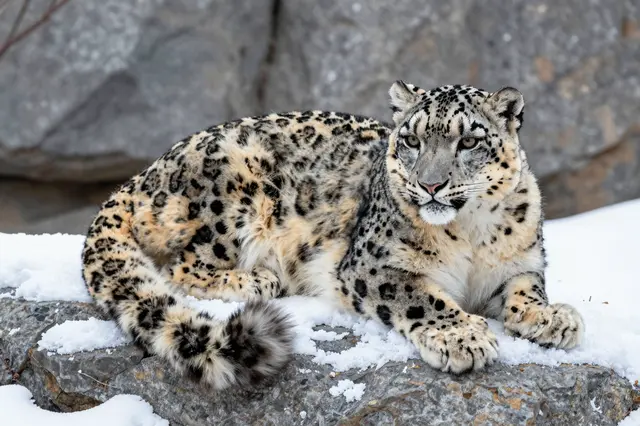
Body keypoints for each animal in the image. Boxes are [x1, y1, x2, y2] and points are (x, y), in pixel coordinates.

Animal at [81, 81, 585, 390]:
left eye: (469, 142)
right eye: (413, 140)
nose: (431, 184)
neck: (471, 232)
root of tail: (144, 172)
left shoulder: (518, 262)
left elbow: (526, 288)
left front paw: (552, 317)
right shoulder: (371, 265)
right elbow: (420, 296)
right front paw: (461, 338)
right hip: (233, 191)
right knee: (182, 264)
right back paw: (256, 279)